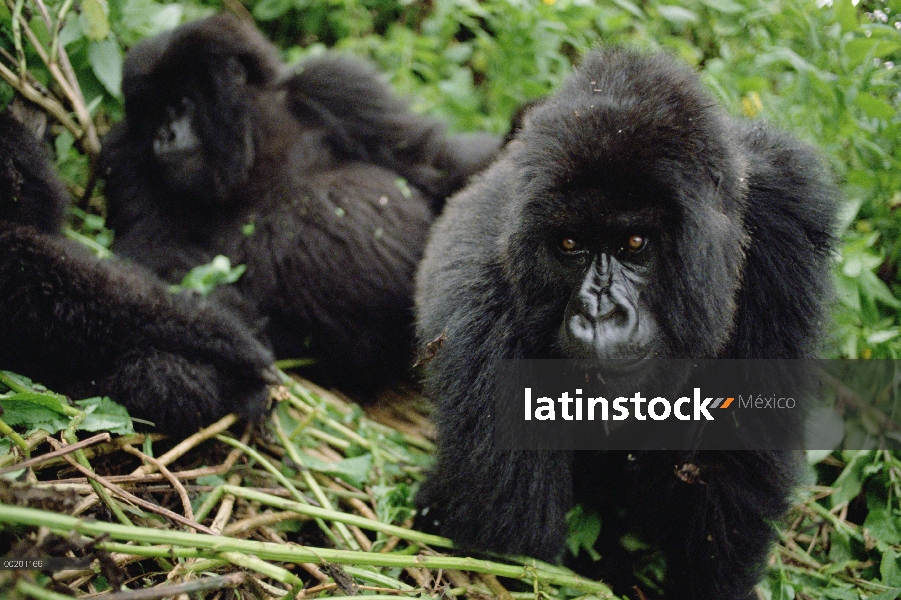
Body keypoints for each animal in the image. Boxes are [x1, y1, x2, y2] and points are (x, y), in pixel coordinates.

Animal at [102, 14, 502, 396]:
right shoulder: (123, 154)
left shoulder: (338, 85)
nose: (163, 135)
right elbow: (151, 256)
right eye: (152, 112)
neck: (253, 141)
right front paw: (230, 336)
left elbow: (431, 161)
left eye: (181, 102)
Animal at [414, 49, 836, 600]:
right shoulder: (484, 302)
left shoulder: (787, 217)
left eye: (634, 243)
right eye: (570, 245)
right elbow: (516, 549)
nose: (599, 313)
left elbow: (734, 454)